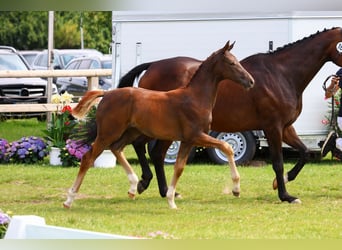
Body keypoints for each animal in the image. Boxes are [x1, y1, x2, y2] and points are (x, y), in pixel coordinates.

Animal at [62, 41, 254, 209]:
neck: (195, 97)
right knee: (88, 158)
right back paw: (69, 200)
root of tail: (107, 94)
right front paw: (236, 189)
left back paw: (134, 186)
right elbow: (227, 147)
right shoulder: (196, 136)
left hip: (130, 132)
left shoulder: (187, 141)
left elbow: (179, 168)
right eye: (231, 63)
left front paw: (171, 200)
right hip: (108, 132)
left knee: (117, 148)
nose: (250, 81)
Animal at [118, 27, 342, 203]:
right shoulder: (273, 127)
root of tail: (152, 66)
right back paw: (145, 183)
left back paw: (164, 190)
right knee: (143, 147)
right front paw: (286, 196)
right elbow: (278, 162)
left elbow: (304, 152)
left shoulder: (286, 128)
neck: (282, 74)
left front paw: (280, 183)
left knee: (155, 152)